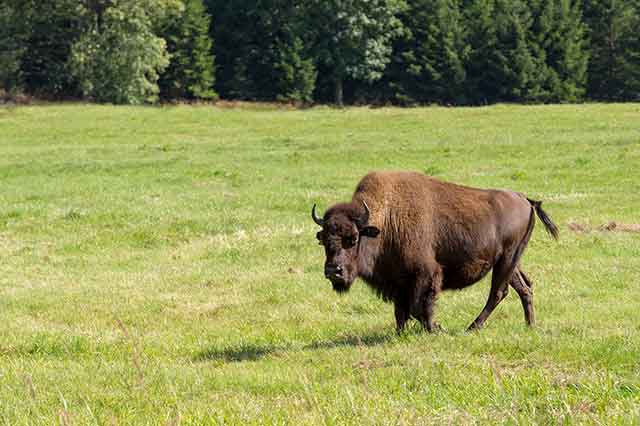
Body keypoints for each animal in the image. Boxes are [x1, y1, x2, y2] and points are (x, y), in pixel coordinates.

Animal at [312, 171, 556, 332]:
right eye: (323, 240)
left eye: (353, 239)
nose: (333, 271)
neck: (385, 220)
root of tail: (525, 199)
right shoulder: (398, 282)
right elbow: (401, 310)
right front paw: (401, 332)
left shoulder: (427, 274)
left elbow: (420, 306)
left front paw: (436, 328)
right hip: (509, 262)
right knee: (524, 288)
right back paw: (530, 325)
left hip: (507, 259)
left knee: (498, 292)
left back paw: (473, 327)